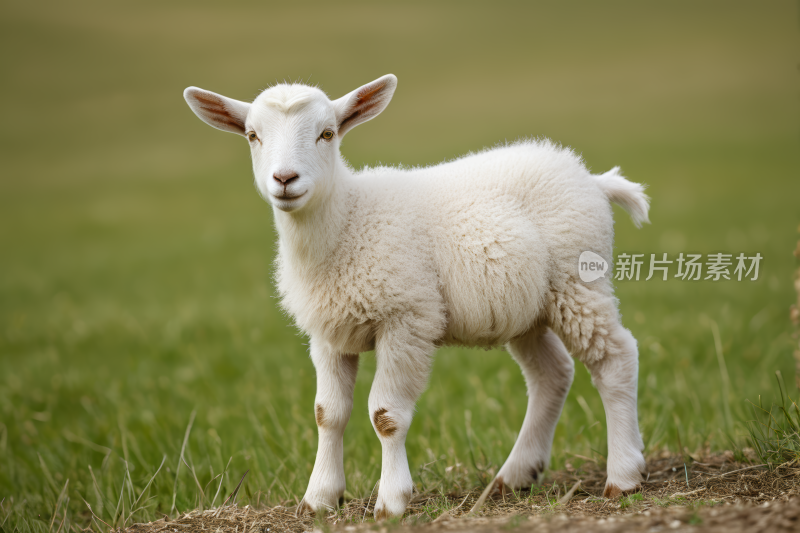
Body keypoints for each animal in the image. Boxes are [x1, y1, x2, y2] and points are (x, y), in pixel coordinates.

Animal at [183, 75, 648, 520]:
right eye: (252, 135)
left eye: (327, 133)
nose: (284, 179)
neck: (347, 221)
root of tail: (591, 178)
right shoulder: (329, 332)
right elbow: (327, 414)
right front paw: (318, 499)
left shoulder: (405, 318)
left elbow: (386, 416)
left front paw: (391, 502)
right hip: (527, 308)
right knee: (552, 374)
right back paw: (515, 475)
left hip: (578, 282)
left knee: (615, 357)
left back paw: (624, 475)